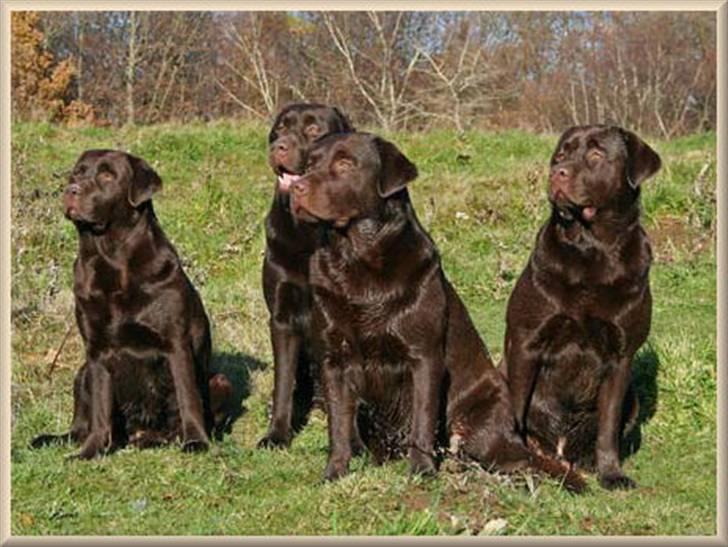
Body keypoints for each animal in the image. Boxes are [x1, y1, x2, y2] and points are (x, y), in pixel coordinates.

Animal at [30, 150, 230, 458]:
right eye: (77, 173)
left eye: (107, 175)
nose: (71, 190)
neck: (112, 259)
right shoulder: (97, 352)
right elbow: (100, 410)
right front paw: (92, 451)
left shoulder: (176, 344)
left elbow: (188, 398)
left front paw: (197, 441)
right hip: (82, 372)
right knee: (80, 425)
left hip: (220, 380)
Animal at [258, 103, 356, 450]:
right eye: (280, 128)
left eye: (314, 129)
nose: (279, 146)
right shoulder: (282, 317)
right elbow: (283, 383)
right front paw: (276, 434)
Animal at [288, 133, 584, 492]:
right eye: (309, 164)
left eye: (345, 163)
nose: (296, 187)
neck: (357, 260)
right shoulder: (334, 359)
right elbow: (338, 424)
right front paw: (334, 472)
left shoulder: (424, 356)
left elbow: (422, 419)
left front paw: (422, 470)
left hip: (481, 421)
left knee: (515, 460)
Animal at [504, 126, 664, 490]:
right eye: (561, 154)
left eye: (596, 155)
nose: (557, 172)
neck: (592, 250)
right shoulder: (525, 342)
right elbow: (516, 408)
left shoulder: (621, 356)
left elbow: (608, 427)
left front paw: (612, 474)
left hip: (633, 398)